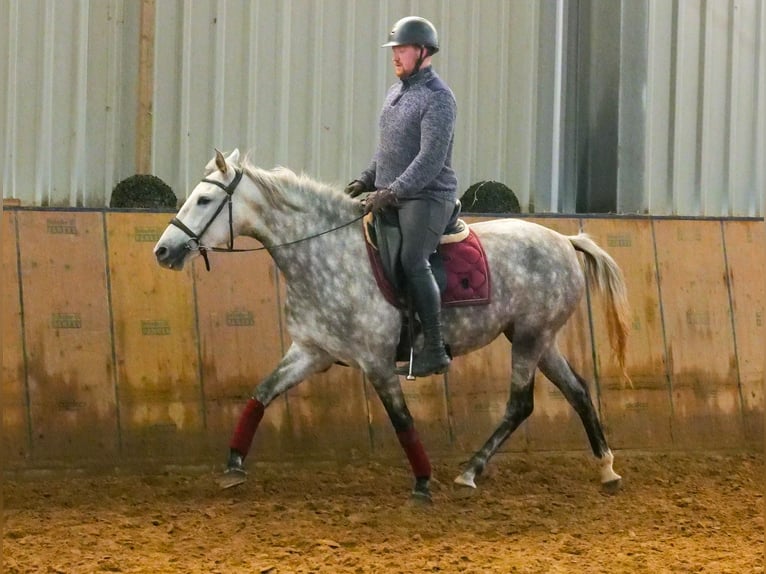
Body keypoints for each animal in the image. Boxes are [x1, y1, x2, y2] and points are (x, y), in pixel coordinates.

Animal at [154, 150, 632, 504]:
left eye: (203, 200)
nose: (163, 250)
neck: (328, 254)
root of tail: (564, 240)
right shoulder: (311, 351)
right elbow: (261, 394)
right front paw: (233, 465)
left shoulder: (377, 363)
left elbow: (401, 420)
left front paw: (422, 482)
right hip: (538, 338)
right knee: (577, 391)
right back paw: (606, 468)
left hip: (531, 339)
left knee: (520, 404)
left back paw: (470, 472)